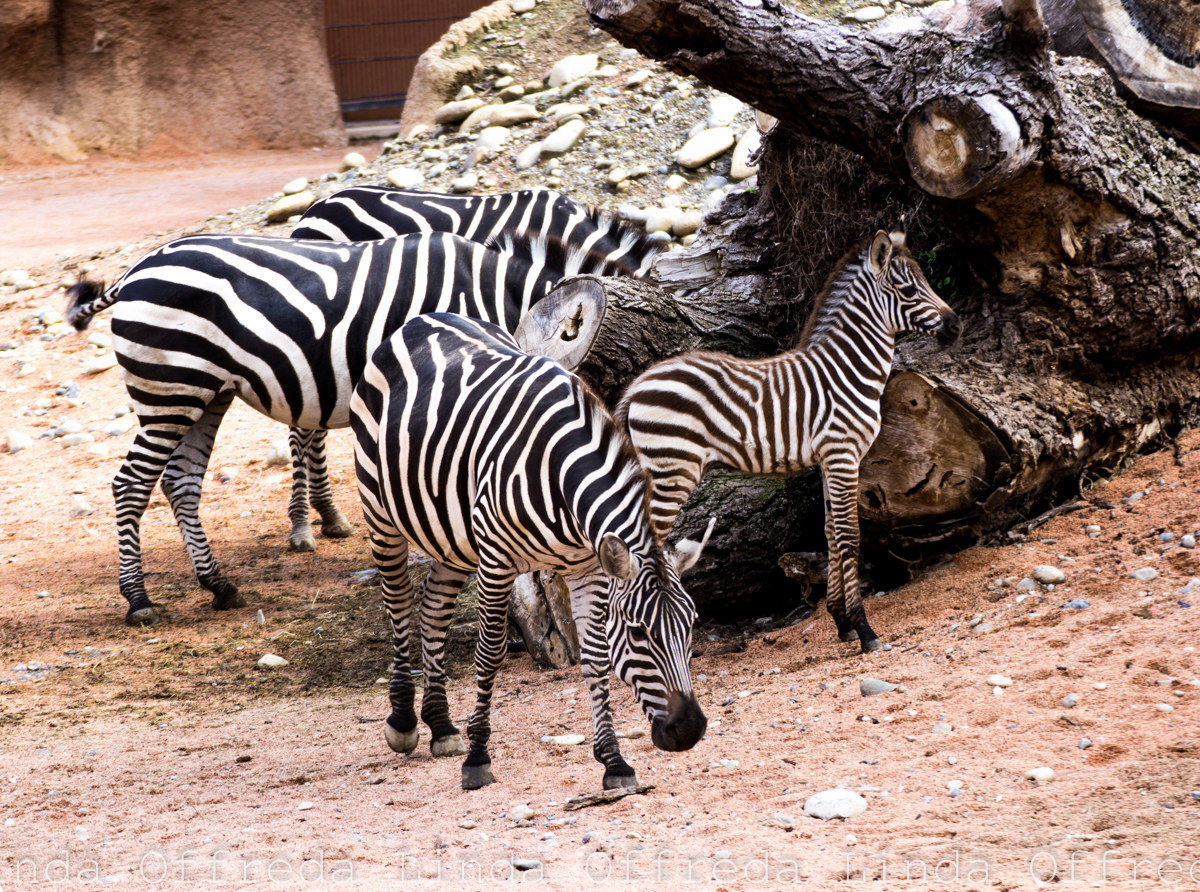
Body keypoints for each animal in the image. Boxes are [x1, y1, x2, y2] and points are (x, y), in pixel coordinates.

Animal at [64, 230, 634, 626]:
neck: (496, 297)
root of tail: (136, 269)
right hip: (170, 386)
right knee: (131, 484)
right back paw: (138, 599)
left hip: (206, 393)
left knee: (180, 482)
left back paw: (219, 586)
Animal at [350, 312, 708, 791]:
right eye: (638, 633)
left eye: (691, 625)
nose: (689, 731)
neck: (562, 478)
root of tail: (424, 319)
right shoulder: (496, 560)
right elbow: (489, 654)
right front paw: (479, 758)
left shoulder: (589, 568)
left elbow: (596, 659)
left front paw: (614, 762)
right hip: (381, 513)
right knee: (400, 606)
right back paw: (404, 721)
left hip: (453, 538)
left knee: (432, 609)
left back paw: (441, 726)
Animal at [616, 231, 961, 653]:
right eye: (909, 289)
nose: (956, 326)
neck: (847, 370)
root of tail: (637, 385)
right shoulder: (843, 454)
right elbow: (850, 537)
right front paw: (865, 630)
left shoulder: (830, 461)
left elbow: (830, 534)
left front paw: (841, 621)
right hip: (672, 472)